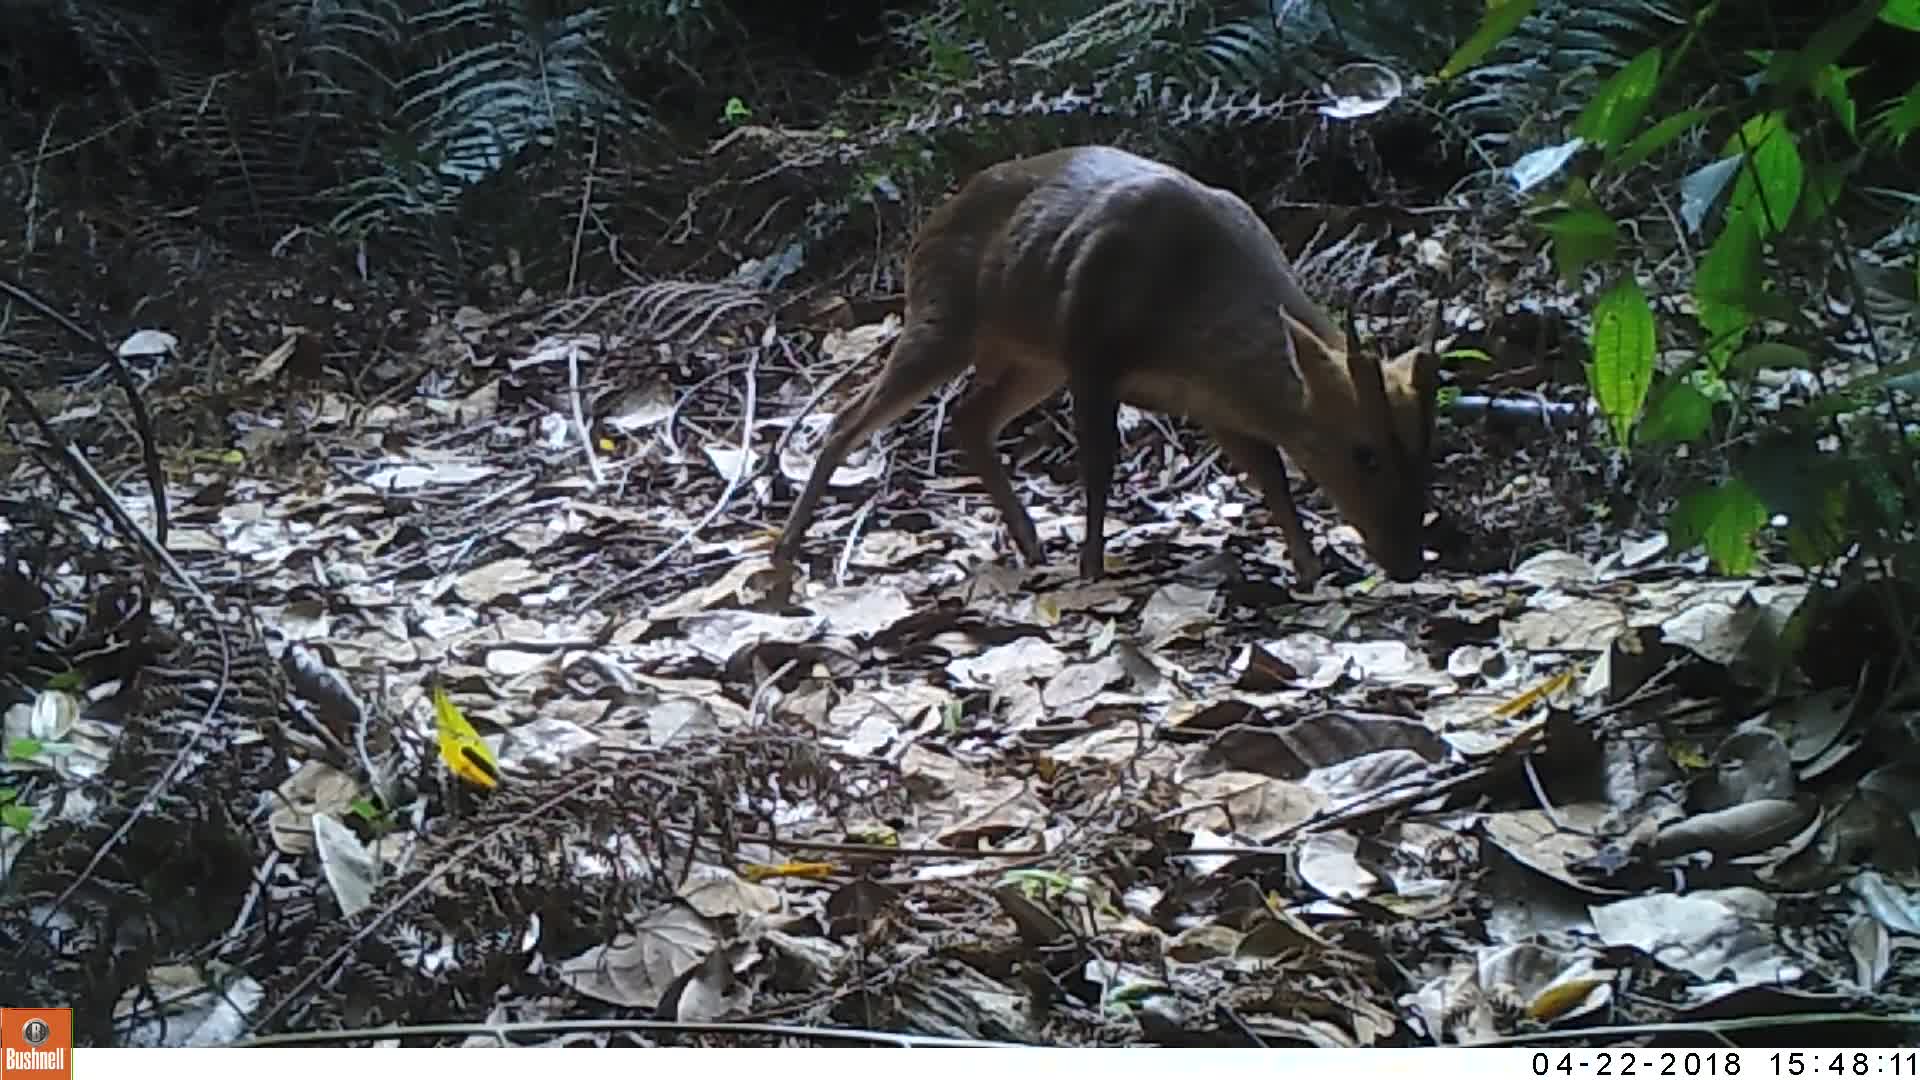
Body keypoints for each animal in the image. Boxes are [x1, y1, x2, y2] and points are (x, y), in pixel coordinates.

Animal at [771, 145, 1436, 588]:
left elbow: (1268, 471)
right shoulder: (1092, 351)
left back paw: (1031, 545)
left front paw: (1310, 567)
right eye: (1365, 454)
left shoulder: (1211, 398)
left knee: (968, 417)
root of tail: (923, 230)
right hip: (945, 321)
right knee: (849, 417)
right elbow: (1097, 467)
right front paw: (1092, 568)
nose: (1408, 562)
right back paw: (787, 546)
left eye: (1427, 452)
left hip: (1033, 359)